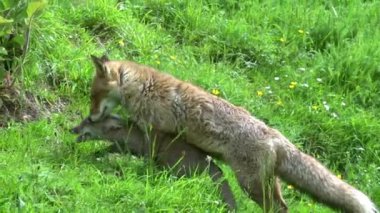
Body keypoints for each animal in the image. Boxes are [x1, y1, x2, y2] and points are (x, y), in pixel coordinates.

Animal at [70, 115, 236, 210]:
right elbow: (105, 150)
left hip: (171, 162)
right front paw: (95, 154)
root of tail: (209, 161)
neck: (129, 133)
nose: (72, 129)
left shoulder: (145, 149)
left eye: (87, 122)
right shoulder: (121, 147)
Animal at [88, 55, 378, 213]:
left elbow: (147, 157)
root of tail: (276, 135)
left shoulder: (155, 132)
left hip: (250, 185)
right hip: (265, 184)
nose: (90, 117)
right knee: (283, 206)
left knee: (277, 208)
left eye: (94, 95)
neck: (144, 87)